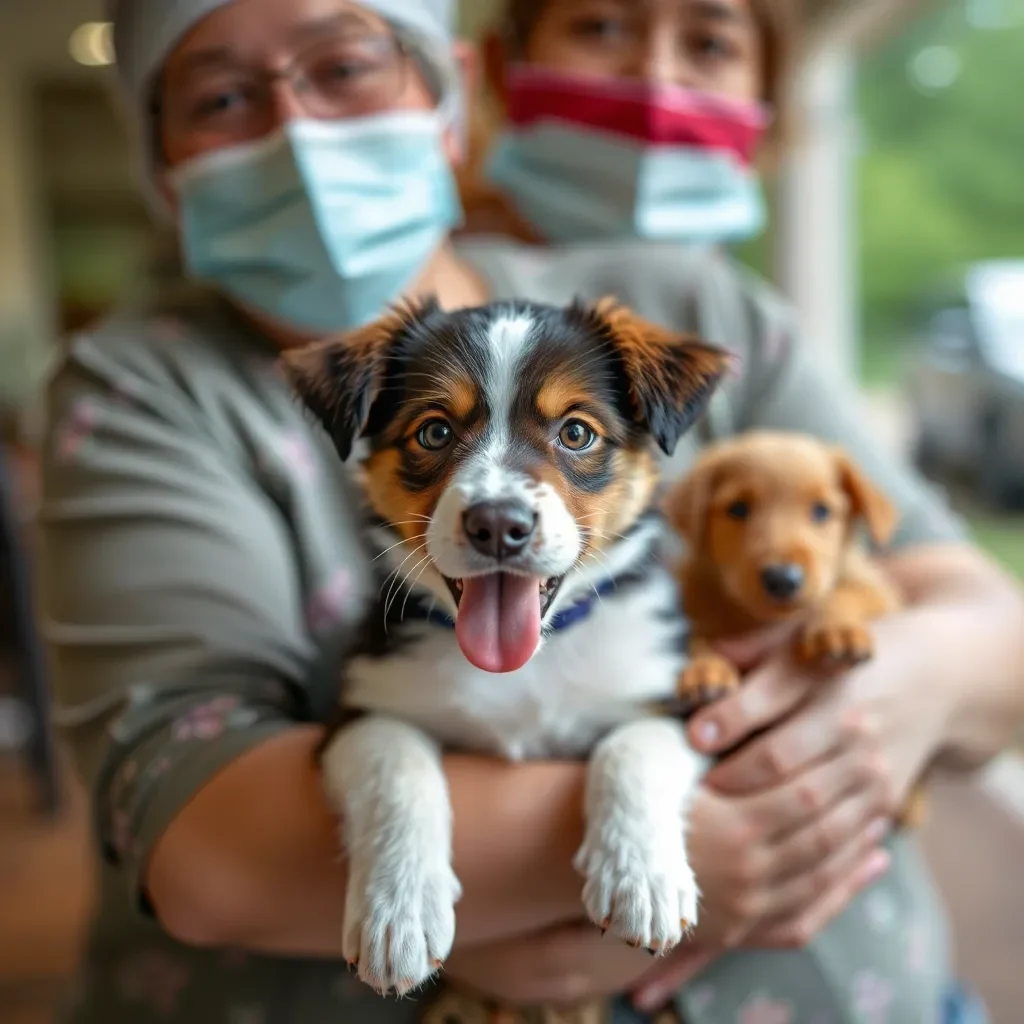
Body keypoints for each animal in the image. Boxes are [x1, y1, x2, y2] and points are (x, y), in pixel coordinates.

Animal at [284, 299, 733, 999]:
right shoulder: (357, 711)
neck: (526, 667)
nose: (498, 525)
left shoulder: (682, 702)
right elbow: (397, 765)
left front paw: (642, 880)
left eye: (576, 433)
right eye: (434, 433)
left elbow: (632, 749)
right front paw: (398, 912)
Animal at [663, 428, 929, 827]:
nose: (782, 578)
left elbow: (846, 593)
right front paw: (704, 669)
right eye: (738, 509)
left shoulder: (881, 593)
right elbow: (692, 633)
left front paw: (837, 630)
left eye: (821, 511)